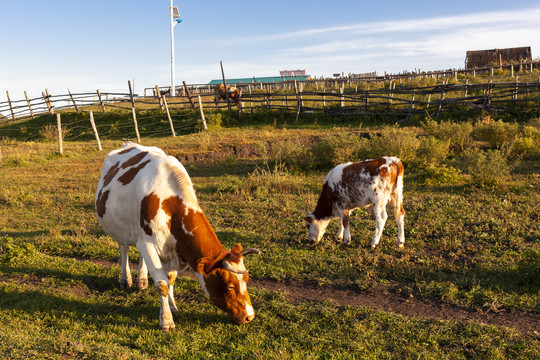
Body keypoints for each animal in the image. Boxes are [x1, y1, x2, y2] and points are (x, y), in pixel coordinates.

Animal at [96, 142, 260, 330]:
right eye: (230, 287)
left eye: (247, 279)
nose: (249, 316)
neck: (170, 202)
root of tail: (129, 143)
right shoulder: (148, 244)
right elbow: (162, 284)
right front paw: (166, 321)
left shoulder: (173, 247)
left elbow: (171, 279)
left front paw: (173, 307)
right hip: (120, 226)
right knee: (124, 249)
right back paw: (126, 280)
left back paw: (142, 280)